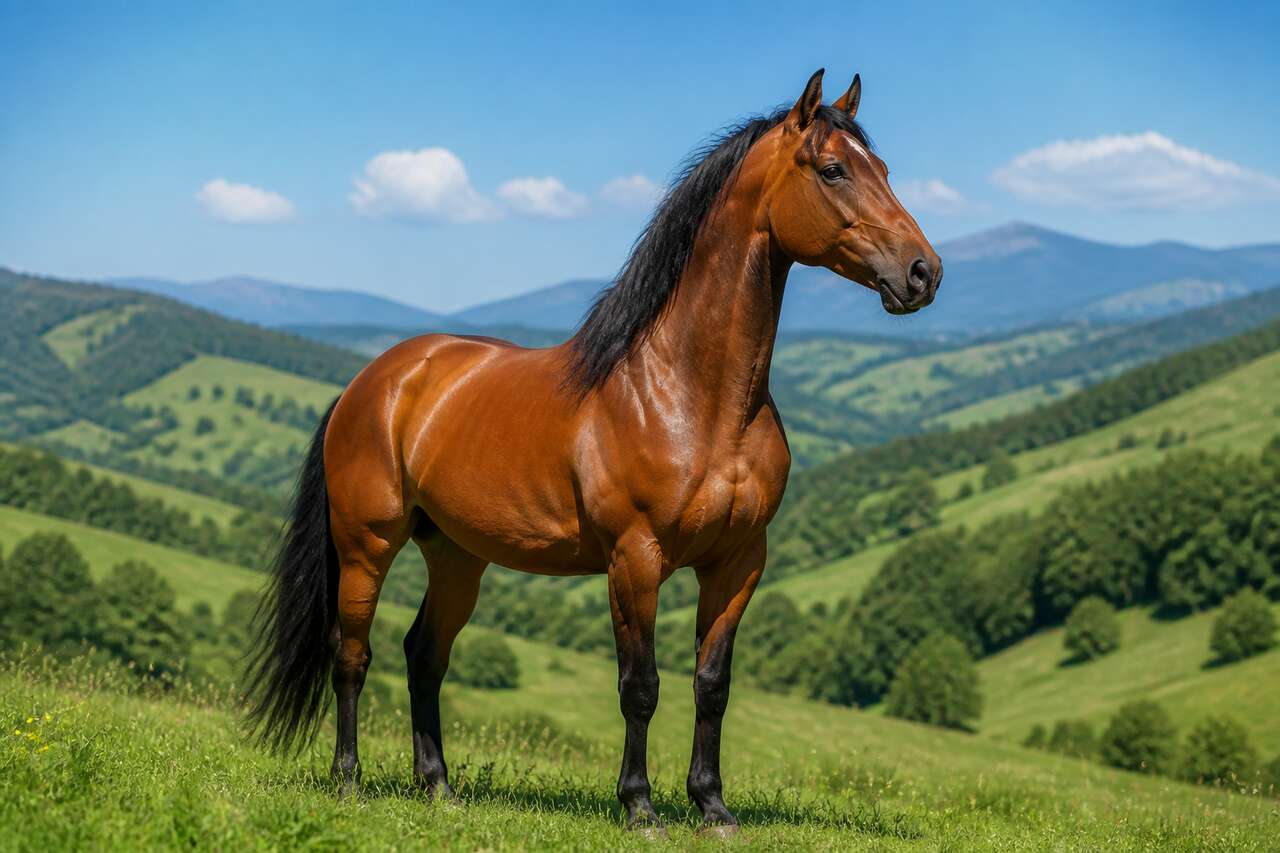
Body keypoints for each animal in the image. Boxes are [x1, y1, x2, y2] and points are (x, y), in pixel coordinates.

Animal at [245, 68, 942, 835]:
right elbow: (640, 685)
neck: (691, 395)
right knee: (352, 654)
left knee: (424, 656)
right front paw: (640, 806)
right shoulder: (634, 559)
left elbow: (712, 684)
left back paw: (439, 787)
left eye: (884, 169)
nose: (923, 272)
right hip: (367, 544)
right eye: (833, 169)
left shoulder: (739, 563)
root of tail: (374, 382)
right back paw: (348, 782)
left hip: (457, 556)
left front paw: (712, 805)